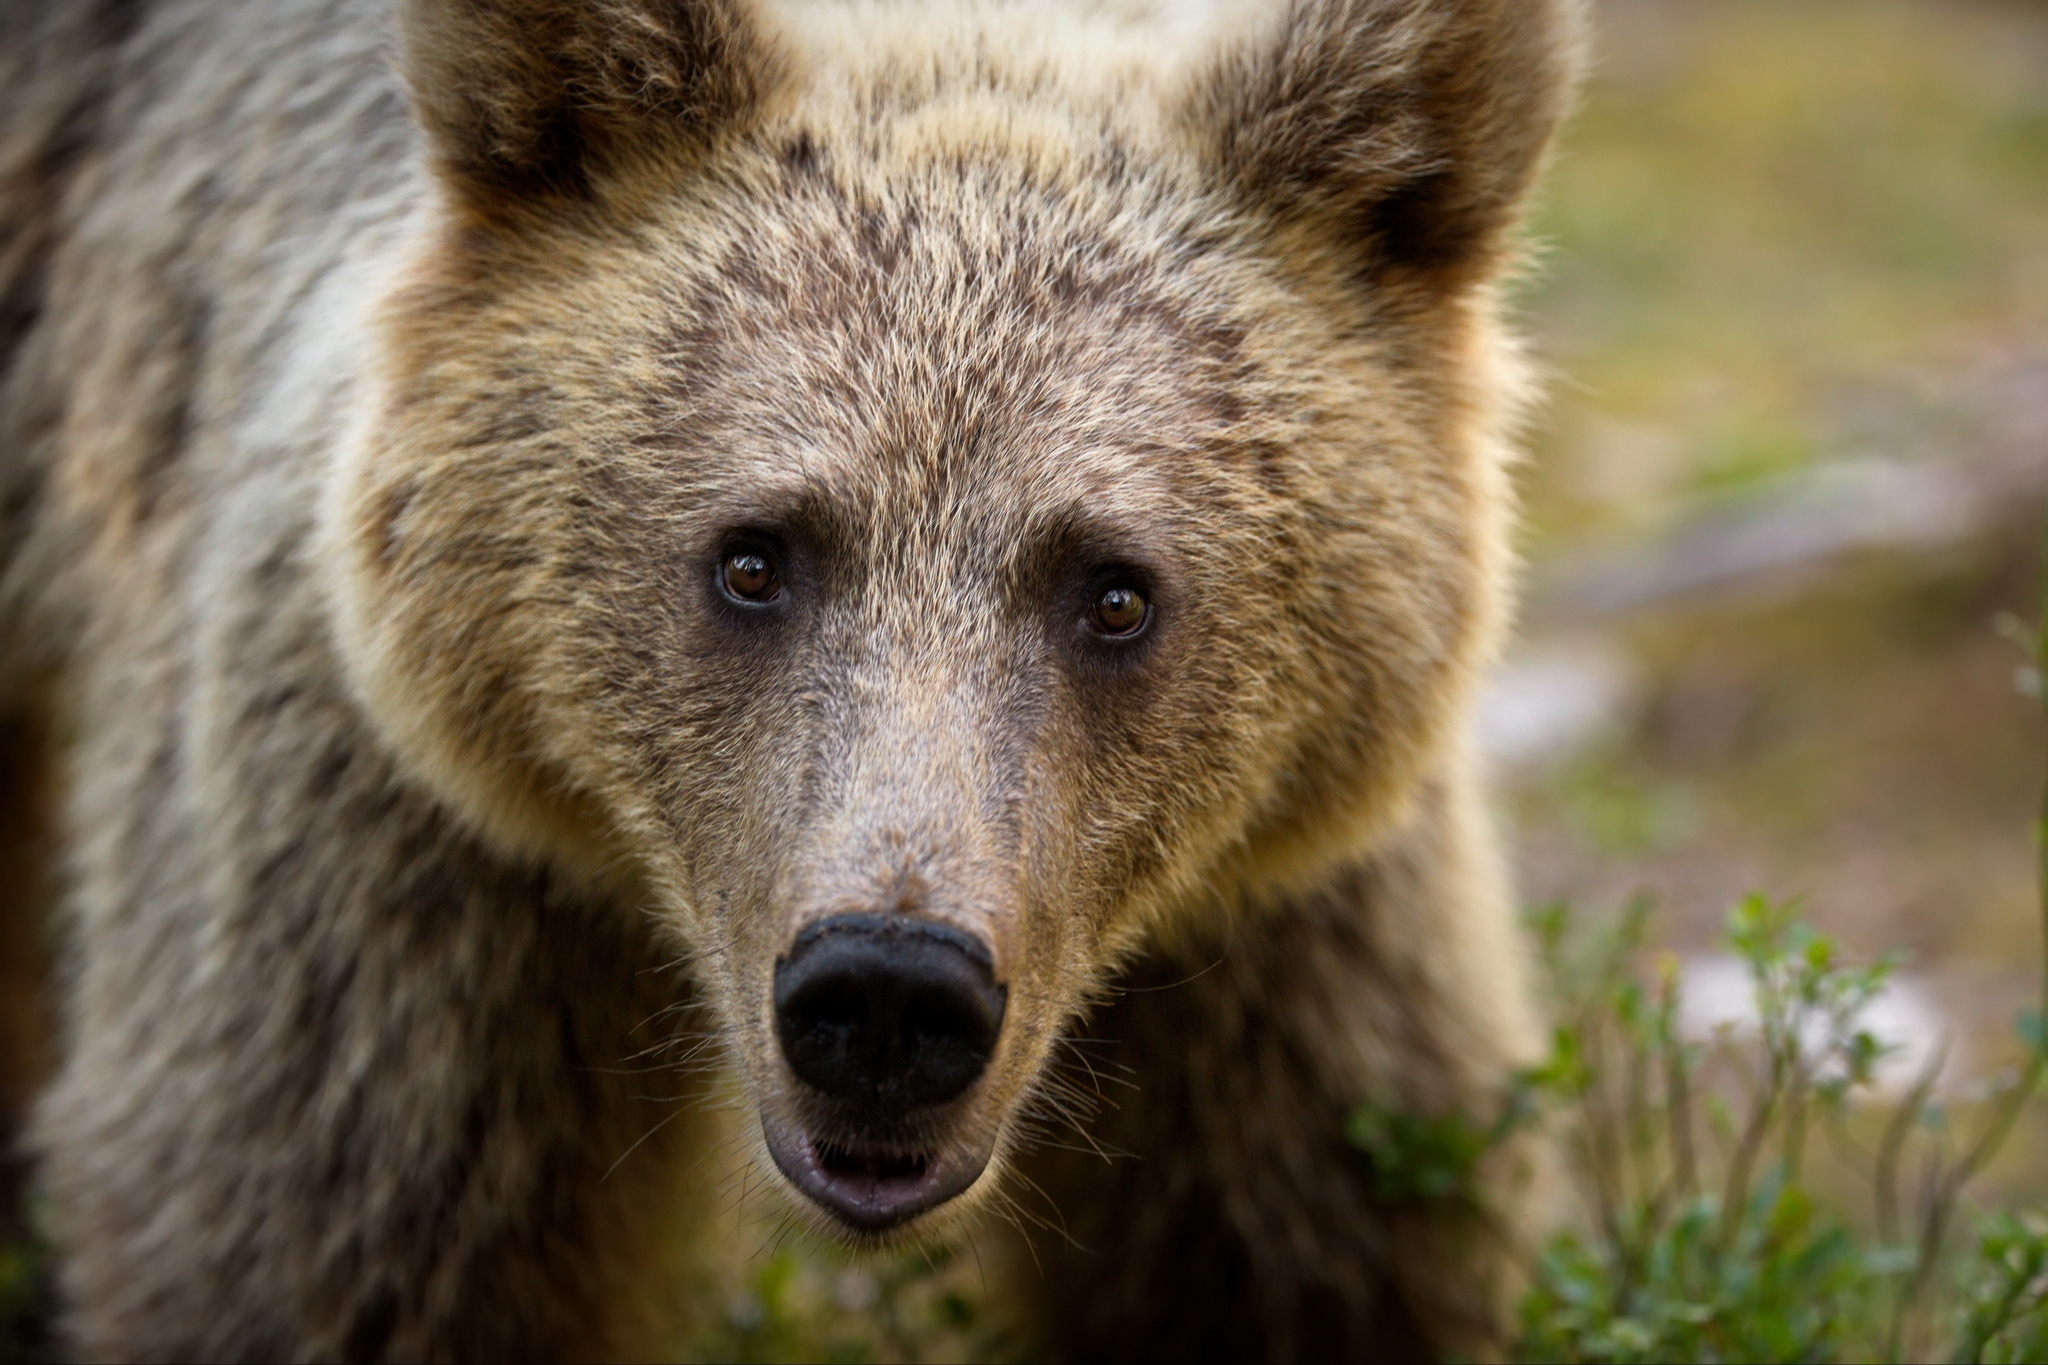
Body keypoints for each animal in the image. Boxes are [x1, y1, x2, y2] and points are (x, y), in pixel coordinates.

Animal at [0, 0, 1581, 1358]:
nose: (888, 992)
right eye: (754, 557)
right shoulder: (403, 857)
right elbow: (324, 1231)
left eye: (1117, 589)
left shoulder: (1276, 918)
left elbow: (1300, 1233)